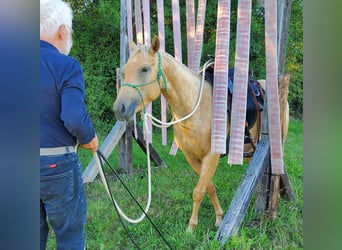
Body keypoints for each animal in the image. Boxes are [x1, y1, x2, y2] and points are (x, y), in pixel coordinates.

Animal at [113, 35, 264, 232]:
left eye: (145, 69)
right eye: (124, 72)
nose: (119, 109)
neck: (194, 109)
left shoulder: (211, 156)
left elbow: (198, 191)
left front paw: (191, 227)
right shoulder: (192, 157)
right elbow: (209, 187)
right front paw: (219, 217)